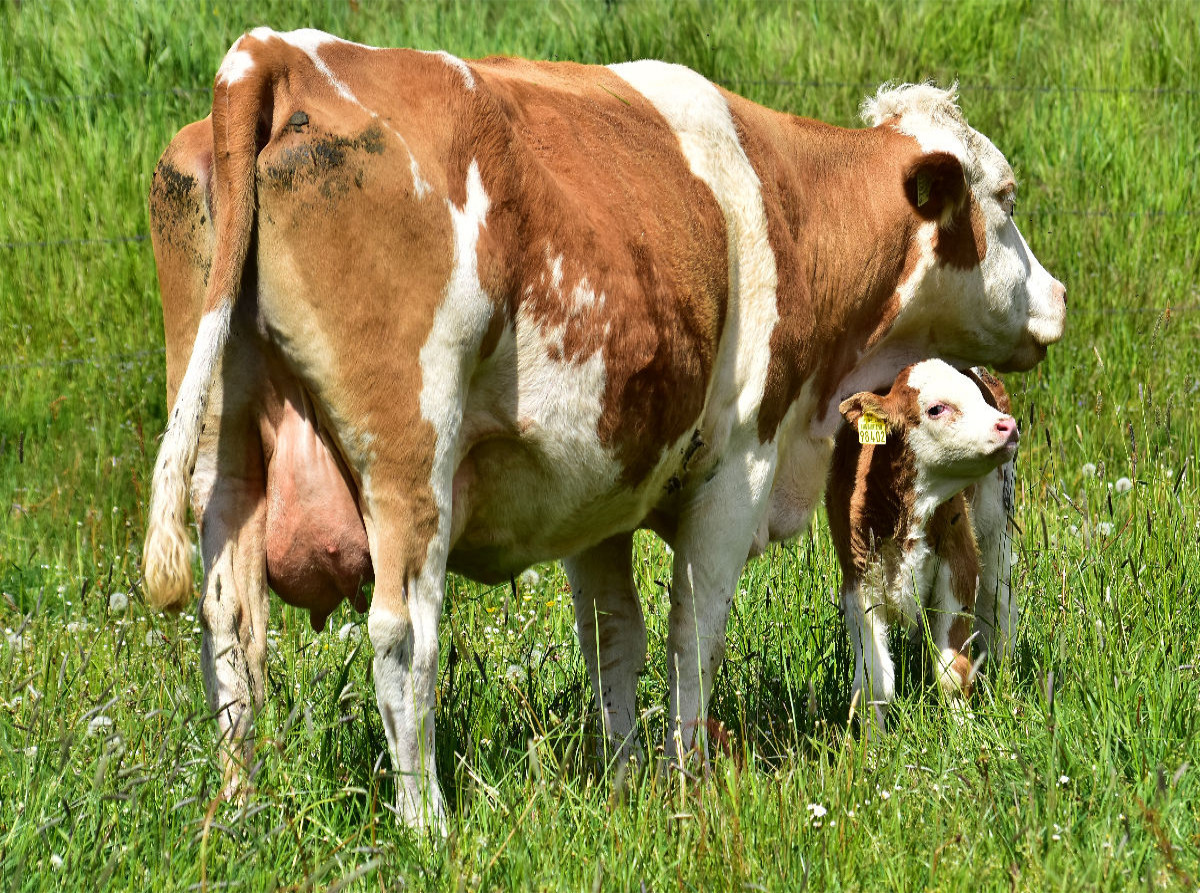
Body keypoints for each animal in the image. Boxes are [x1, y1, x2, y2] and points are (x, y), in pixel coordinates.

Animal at [830, 360, 1017, 729]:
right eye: (936, 408)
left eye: (979, 398)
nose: (1007, 425)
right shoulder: (858, 584)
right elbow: (874, 683)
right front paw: (874, 743)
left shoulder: (959, 565)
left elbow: (952, 672)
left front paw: (965, 733)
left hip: (997, 529)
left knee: (998, 603)